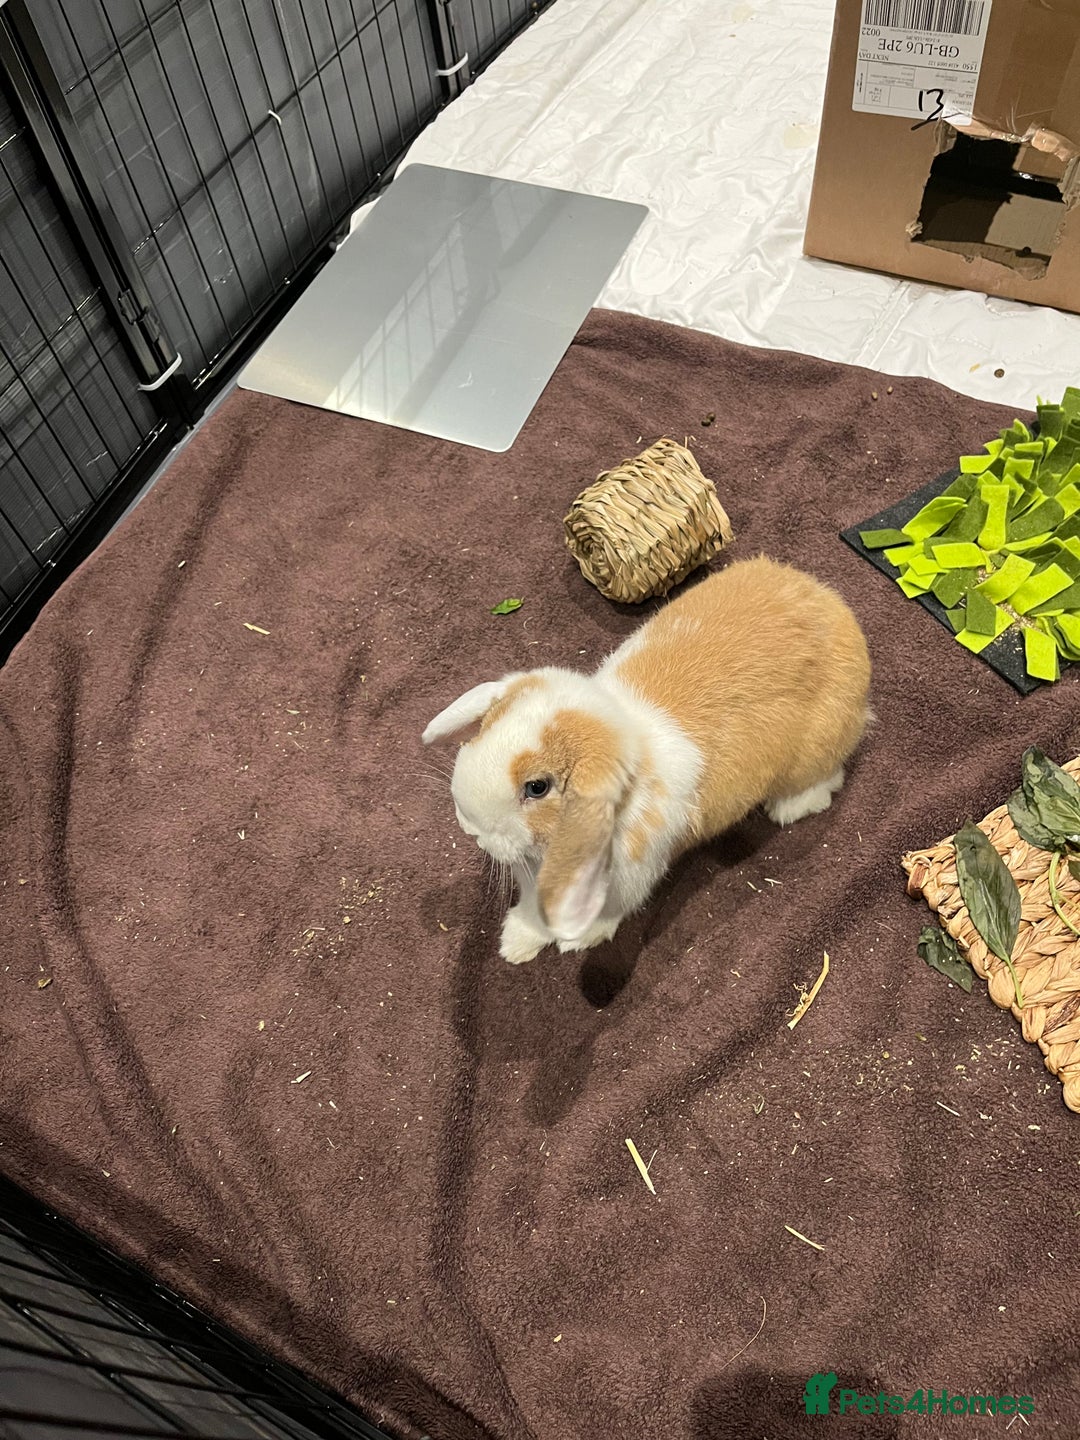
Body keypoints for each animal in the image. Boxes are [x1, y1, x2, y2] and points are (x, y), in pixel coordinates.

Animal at [422, 555, 871, 965]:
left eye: (537, 787)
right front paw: (515, 945)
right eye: (488, 725)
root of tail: (829, 600)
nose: (468, 825)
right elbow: (534, 912)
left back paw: (790, 808)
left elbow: (609, 913)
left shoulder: (627, 879)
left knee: (824, 779)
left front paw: (576, 942)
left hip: (820, 748)